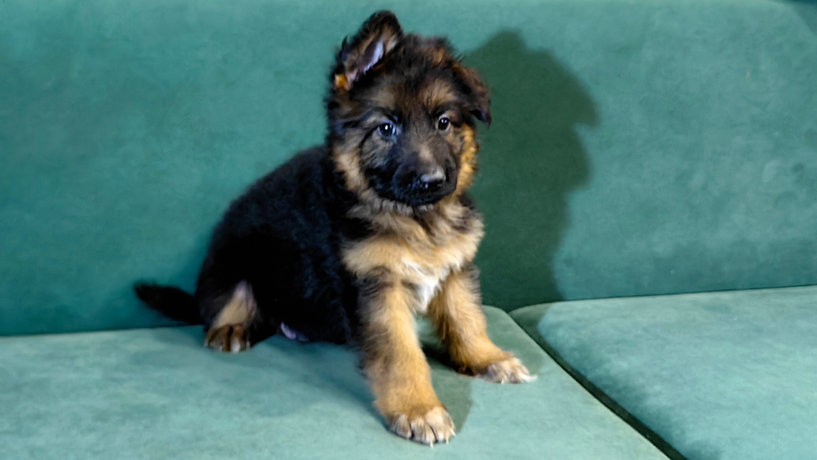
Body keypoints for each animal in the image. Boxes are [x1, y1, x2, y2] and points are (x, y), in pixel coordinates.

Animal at [135, 11, 531, 445]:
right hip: (236, 258)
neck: (413, 218)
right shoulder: (375, 288)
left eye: (444, 122)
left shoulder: (454, 268)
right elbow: (401, 354)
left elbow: (467, 319)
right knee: (222, 306)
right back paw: (231, 328)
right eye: (386, 128)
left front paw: (487, 358)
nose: (432, 180)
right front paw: (418, 408)